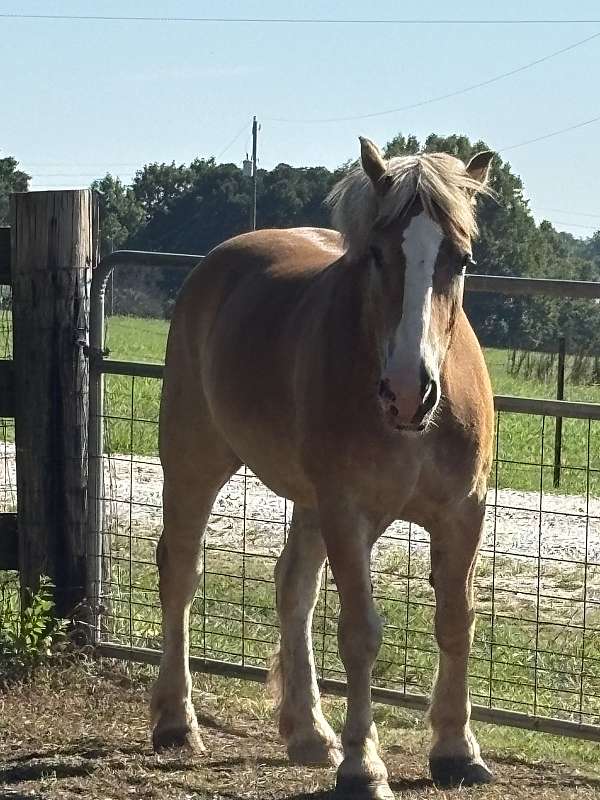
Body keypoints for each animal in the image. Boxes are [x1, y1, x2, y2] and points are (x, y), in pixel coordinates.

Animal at [150, 137, 495, 799]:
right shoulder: (348, 510)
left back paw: (309, 731)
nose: (408, 392)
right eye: (377, 254)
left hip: (310, 502)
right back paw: (177, 720)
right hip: (193, 458)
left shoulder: (463, 511)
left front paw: (456, 750)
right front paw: (364, 765)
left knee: (294, 586)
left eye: (460, 259)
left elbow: (455, 620)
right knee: (179, 572)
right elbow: (360, 634)